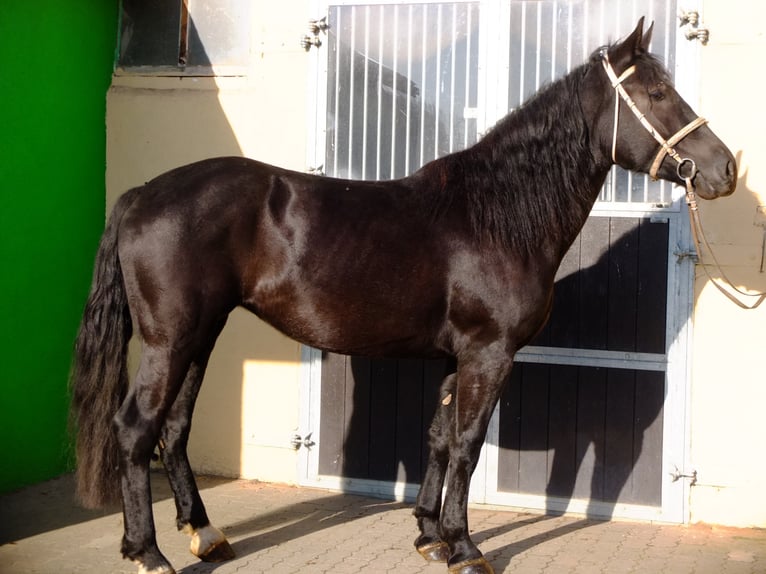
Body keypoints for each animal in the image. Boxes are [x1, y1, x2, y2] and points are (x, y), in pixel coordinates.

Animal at [72, 20, 736, 574]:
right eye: (657, 95)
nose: (726, 169)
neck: (495, 218)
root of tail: (141, 193)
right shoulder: (489, 354)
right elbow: (467, 447)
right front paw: (465, 549)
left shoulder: (457, 358)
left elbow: (439, 439)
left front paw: (428, 535)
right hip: (171, 341)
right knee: (135, 429)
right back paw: (148, 553)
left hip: (200, 336)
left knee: (174, 427)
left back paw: (205, 535)